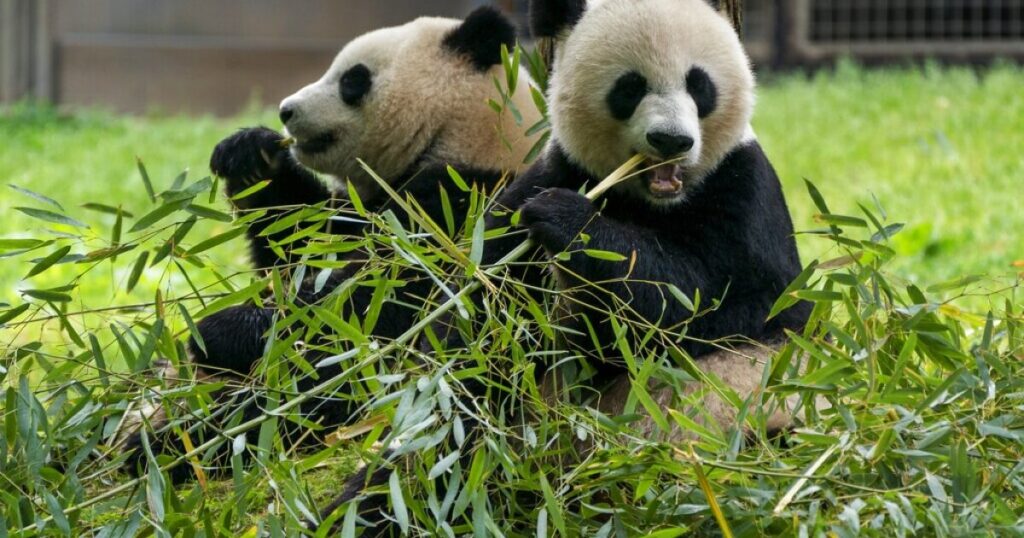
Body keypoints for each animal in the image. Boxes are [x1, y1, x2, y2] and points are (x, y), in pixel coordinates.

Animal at [120, 6, 543, 483]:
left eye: (352, 80)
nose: (285, 110)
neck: (467, 136)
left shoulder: (464, 208)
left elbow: (375, 306)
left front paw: (219, 330)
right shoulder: (361, 208)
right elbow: (297, 246)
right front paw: (250, 155)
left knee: (297, 402)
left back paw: (167, 445)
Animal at [318, 0, 814, 532]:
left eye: (699, 85)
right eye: (630, 87)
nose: (671, 141)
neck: (653, 200)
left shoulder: (745, 194)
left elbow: (710, 305)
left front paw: (570, 222)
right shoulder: (545, 179)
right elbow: (482, 331)